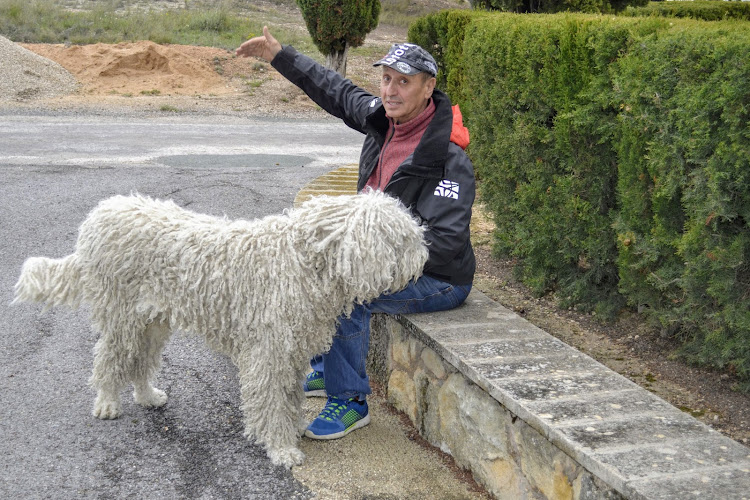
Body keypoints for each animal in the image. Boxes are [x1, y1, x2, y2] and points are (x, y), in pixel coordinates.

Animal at [13, 189, 428, 466]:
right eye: (403, 239)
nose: (425, 257)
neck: (303, 261)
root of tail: (99, 215)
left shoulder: (291, 352)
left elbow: (289, 397)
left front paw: (292, 427)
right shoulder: (269, 352)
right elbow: (271, 401)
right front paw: (280, 447)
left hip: (152, 320)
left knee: (141, 362)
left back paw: (148, 396)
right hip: (122, 316)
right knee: (109, 358)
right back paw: (106, 402)